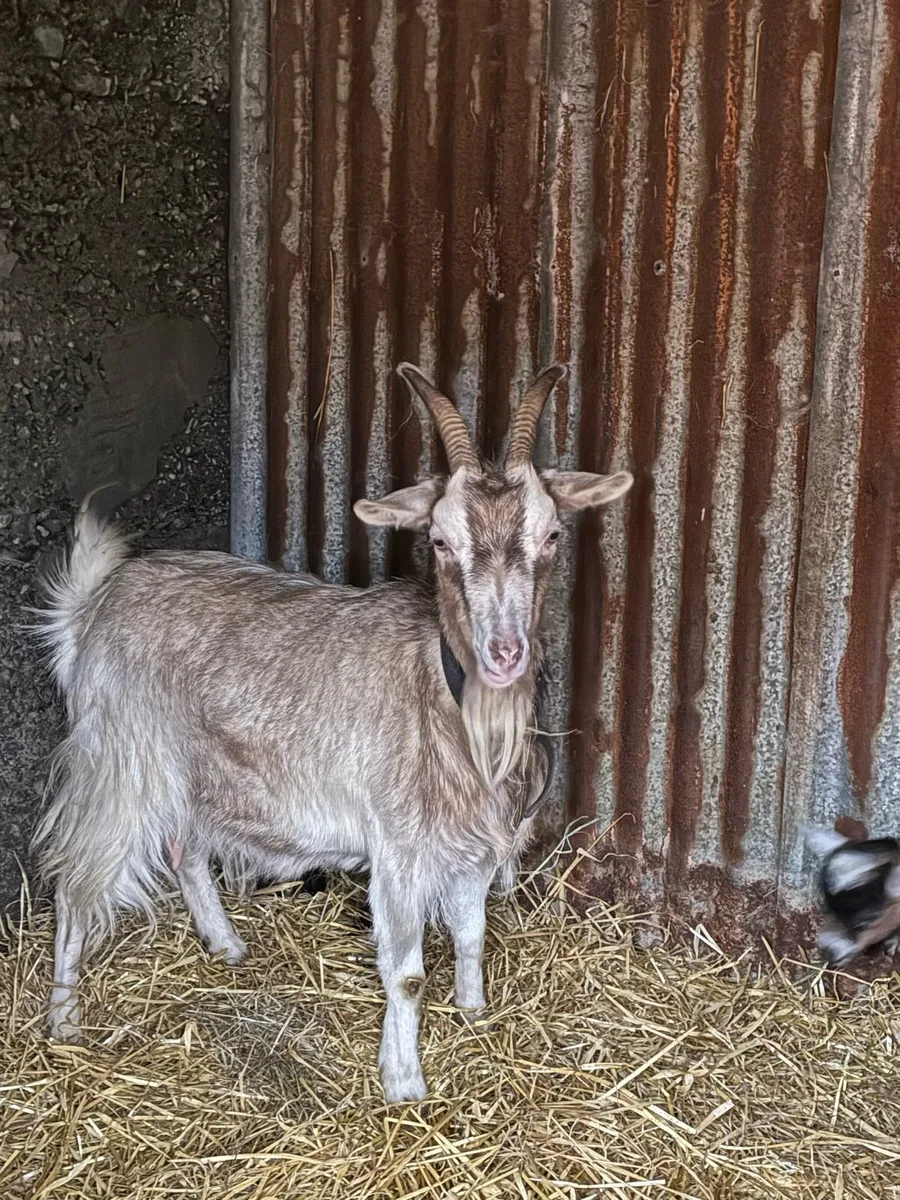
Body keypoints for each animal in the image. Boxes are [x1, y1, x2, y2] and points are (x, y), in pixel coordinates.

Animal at [33, 362, 633, 1103]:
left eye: (551, 535)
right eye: (440, 541)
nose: (504, 653)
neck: (445, 697)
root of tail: (92, 607)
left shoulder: (470, 846)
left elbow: (471, 935)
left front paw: (473, 1012)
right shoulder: (398, 845)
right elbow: (406, 973)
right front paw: (404, 1084)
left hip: (196, 769)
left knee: (184, 848)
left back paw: (225, 945)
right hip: (121, 756)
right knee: (76, 879)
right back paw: (64, 1019)